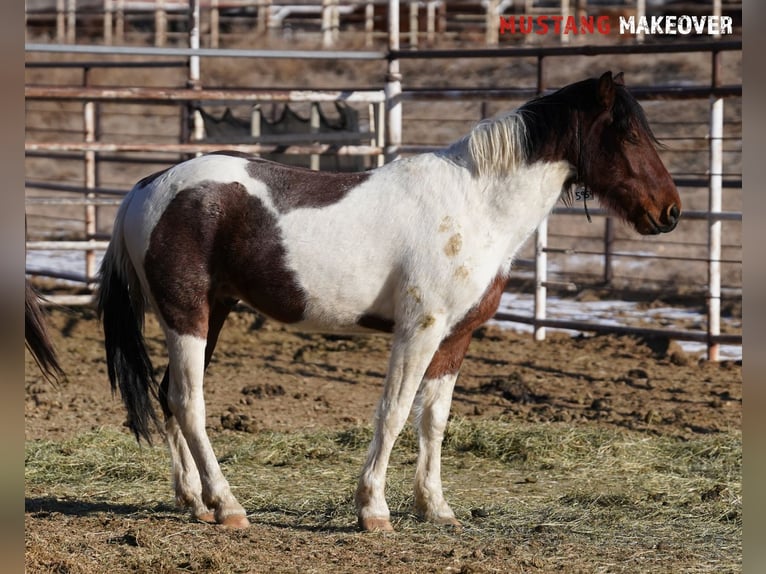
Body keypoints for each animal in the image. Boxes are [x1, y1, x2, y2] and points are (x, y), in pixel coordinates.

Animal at [97, 73, 684, 536]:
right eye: (629, 133)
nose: (671, 211)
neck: (476, 204)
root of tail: (146, 187)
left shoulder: (455, 336)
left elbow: (434, 419)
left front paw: (436, 508)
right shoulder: (419, 329)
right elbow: (395, 412)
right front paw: (373, 510)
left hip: (213, 313)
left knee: (170, 397)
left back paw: (194, 502)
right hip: (187, 317)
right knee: (190, 403)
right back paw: (228, 506)